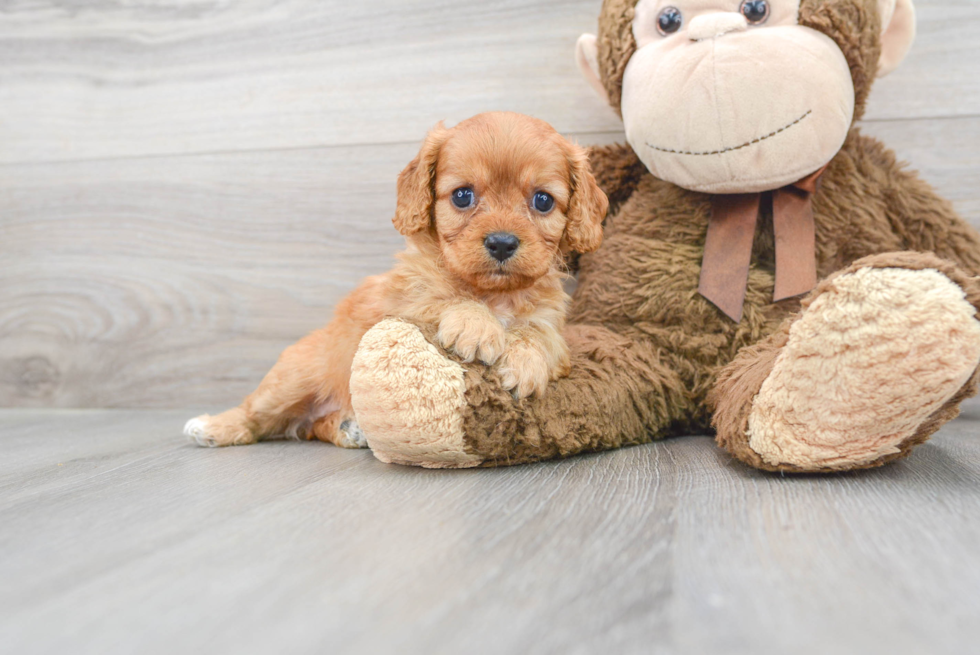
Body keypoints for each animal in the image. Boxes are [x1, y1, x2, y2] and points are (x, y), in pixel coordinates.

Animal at [186, 114, 604, 452]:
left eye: (543, 201)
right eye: (462, 195)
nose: (502, 242)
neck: (491, 293)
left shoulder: (554, 327)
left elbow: (539, 335)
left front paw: (525, 362)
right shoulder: (401, 302)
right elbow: (441, 297)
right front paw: (475, 325)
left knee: (313, 427)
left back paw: (348, 428)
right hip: (291, 379)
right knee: (255, 414)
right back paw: (212, 427)